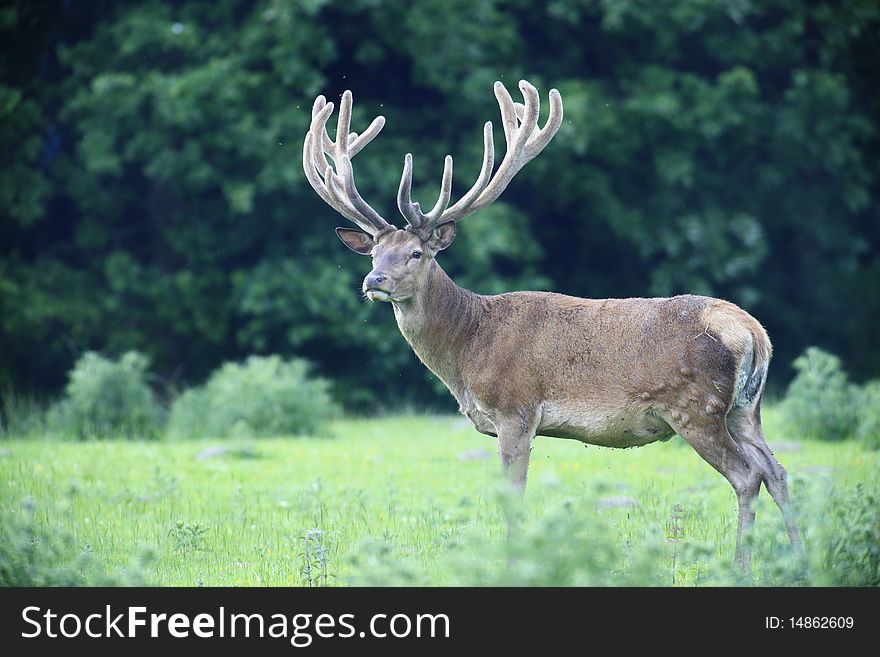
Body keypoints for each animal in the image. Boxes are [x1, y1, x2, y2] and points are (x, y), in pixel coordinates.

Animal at [300, 79, 796, 568]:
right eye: (373, 252)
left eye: (416, 253)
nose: (374, 280)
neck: (467, 348)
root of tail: (755, 334)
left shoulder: (516, 409)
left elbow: (513, 497)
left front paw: (514, 563)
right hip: (745, 409)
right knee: (776, 470)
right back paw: (799, 555)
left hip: (696, 405)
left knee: (747, 475)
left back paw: (741, 567)